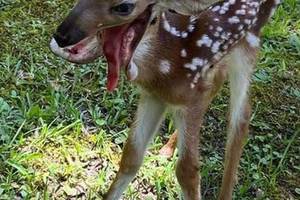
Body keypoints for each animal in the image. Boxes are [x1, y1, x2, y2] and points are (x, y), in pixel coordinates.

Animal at [49, 0, 282, 199]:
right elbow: (131, 157)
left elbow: (187, 170)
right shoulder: (154, 96)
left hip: (249, 43)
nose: (61, 36)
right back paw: (166, 149)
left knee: (241, 118)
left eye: (124, 7)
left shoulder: (191, 99)